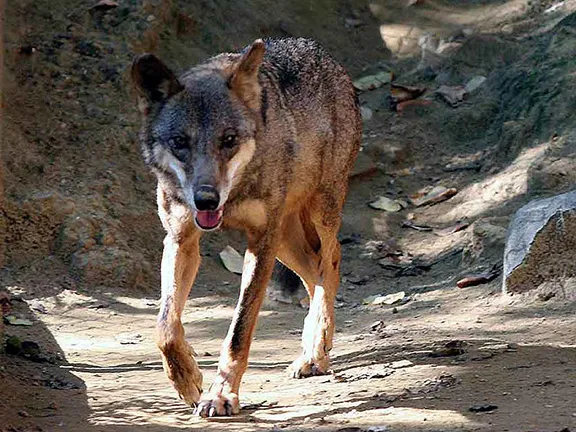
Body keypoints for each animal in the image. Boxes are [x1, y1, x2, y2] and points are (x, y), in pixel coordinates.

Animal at [133, 38, 362, 418]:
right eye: (180, 142)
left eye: (228, 139)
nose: (206, 200)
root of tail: (321, 52)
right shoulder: (181, 239)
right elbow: (165, 326)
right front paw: (186, 380)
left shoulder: (260, 242)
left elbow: (239, 329)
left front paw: (221, 395)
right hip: (285, 240)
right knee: (314, 272)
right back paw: (313, 349)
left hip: (317, 214)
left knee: (331, 262)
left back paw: (316, 351)